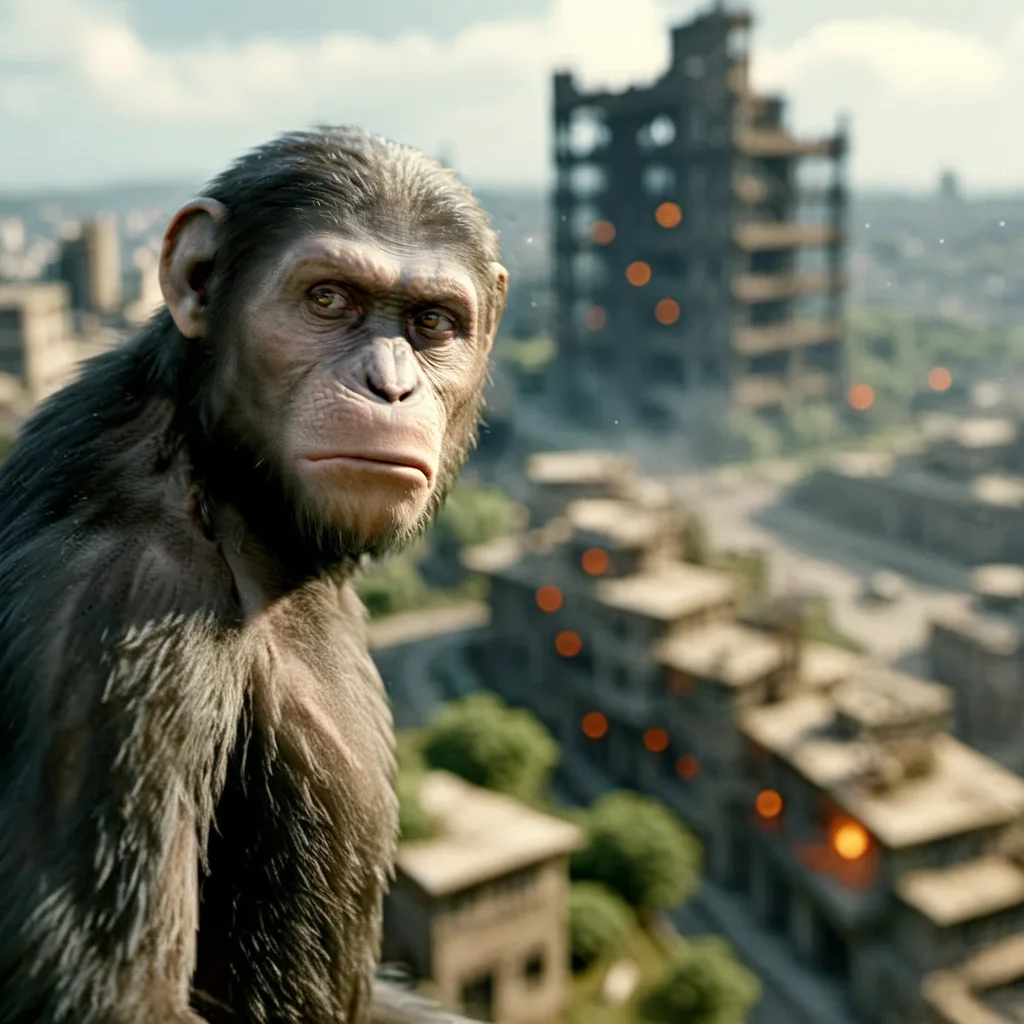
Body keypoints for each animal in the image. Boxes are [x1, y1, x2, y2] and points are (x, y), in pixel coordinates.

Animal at [0, 126, 507, 1024]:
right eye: (329, 299)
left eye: (433, 323)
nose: (391, 384)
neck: (223, 473)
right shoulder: (118, 603)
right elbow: (109, 995)